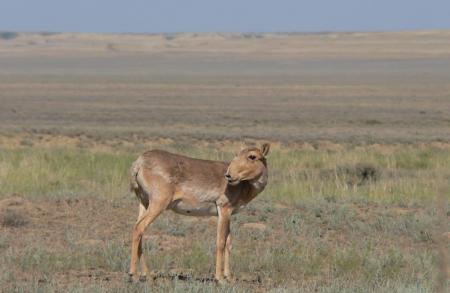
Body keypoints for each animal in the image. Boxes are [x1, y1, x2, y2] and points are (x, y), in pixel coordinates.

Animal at [127, 143, 270, 282]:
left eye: (252, 156)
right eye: (237, 154)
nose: (229, 175)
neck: (244, 186)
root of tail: (139, 162)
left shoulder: (228, 214)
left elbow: (229, 243)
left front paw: (229, 277)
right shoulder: (224, 209)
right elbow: (221, 242)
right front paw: (220, 278)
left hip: (144, 203)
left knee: (138, 230)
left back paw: (147, 275)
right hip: (158, 204)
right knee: (139, 228)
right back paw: (133, 275)